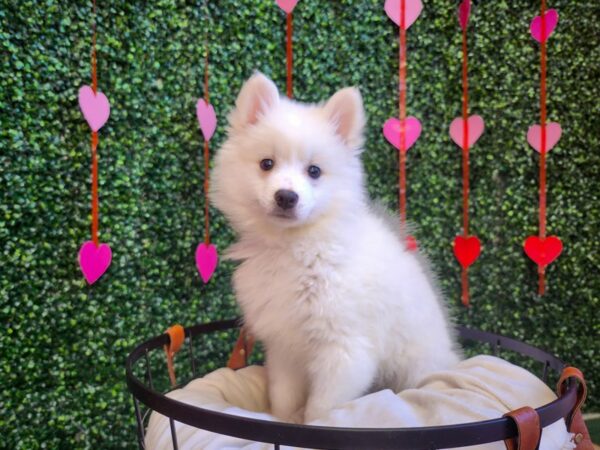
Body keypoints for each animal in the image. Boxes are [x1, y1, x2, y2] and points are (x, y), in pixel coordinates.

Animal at [213, 72, 462, 424]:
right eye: (266, 163)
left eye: (314, 171)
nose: (286, 196)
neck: (298, 247)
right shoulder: (284, 346)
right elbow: (283, 397)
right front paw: (284, 420)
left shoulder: (345, 351)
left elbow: (321, 409)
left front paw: (314, 424)